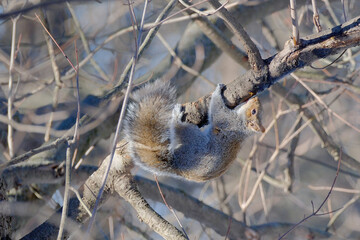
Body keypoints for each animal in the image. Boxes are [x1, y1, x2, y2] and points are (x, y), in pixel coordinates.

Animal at [124, 79, 264, 181]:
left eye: (253, 111)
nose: (256, 98)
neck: (243, 125)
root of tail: (178, 166)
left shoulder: (228, 121)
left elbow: (217, 109)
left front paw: (217, 92)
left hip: (192, 137)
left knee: (180, 129)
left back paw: (176, 117)